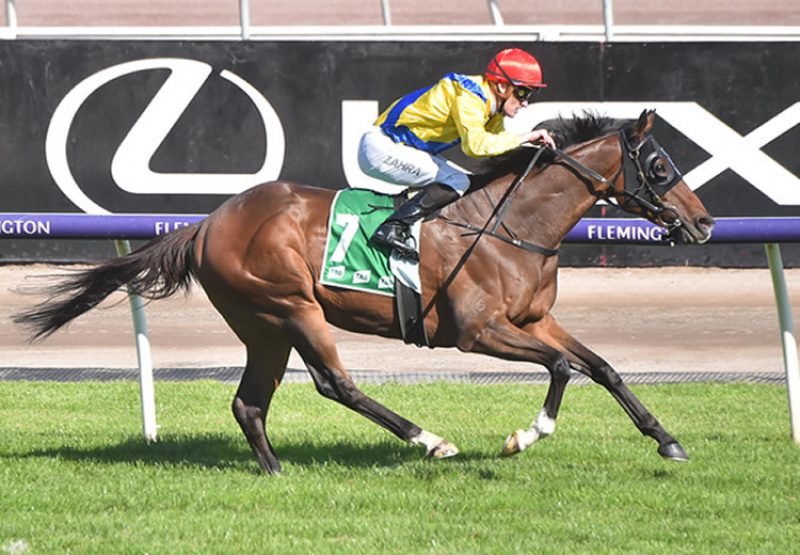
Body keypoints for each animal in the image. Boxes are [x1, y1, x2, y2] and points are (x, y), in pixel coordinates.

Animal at [17, 112, 712, 474]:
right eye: (660, 167)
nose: (704, 223)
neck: (511, 225)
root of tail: (209, 223)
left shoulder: (534, 319)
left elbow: (604, 367)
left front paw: (668, 441)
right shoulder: (477, 332)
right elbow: (566, 367)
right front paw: (523, 436)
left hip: (263, 325)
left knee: (249, 402)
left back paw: (275, 471)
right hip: (291, 306)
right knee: (335, 384)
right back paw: (429, 439)